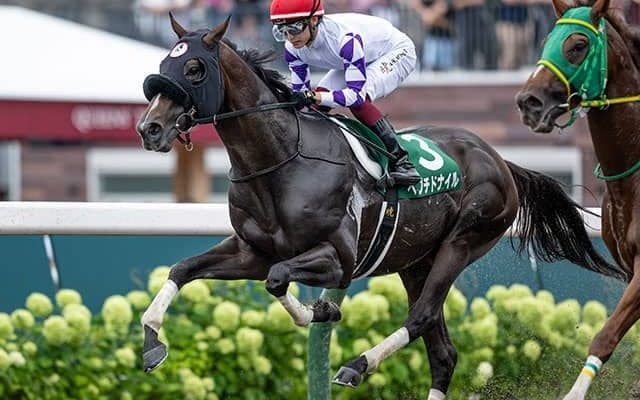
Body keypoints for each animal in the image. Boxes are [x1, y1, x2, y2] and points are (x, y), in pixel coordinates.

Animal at [136, 15, 624, 399]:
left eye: (194, 67)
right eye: (163, 65)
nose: (149, 129)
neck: (281, 159)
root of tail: (501, 160)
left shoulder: (338, 260)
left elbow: (277, 279)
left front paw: (322, 311)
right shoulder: (250, 252)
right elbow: (184, 270)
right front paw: (153, 343)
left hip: (465, 239)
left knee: (422, 315)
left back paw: (357, 364)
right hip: (416, 261)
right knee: (443, 353)